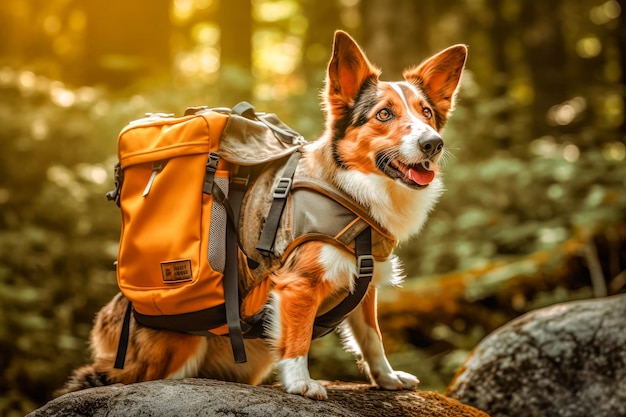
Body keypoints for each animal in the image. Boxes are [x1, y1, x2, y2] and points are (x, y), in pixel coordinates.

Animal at [62, 30, 464, 400]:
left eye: (426, 113)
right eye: (384, 114)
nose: (433, 143)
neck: (351, 190)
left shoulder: (363, 286)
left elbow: (372, 338)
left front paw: (387, 378)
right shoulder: (298, 283)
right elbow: (298, 337)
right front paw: (302, 382)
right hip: (176, 348)